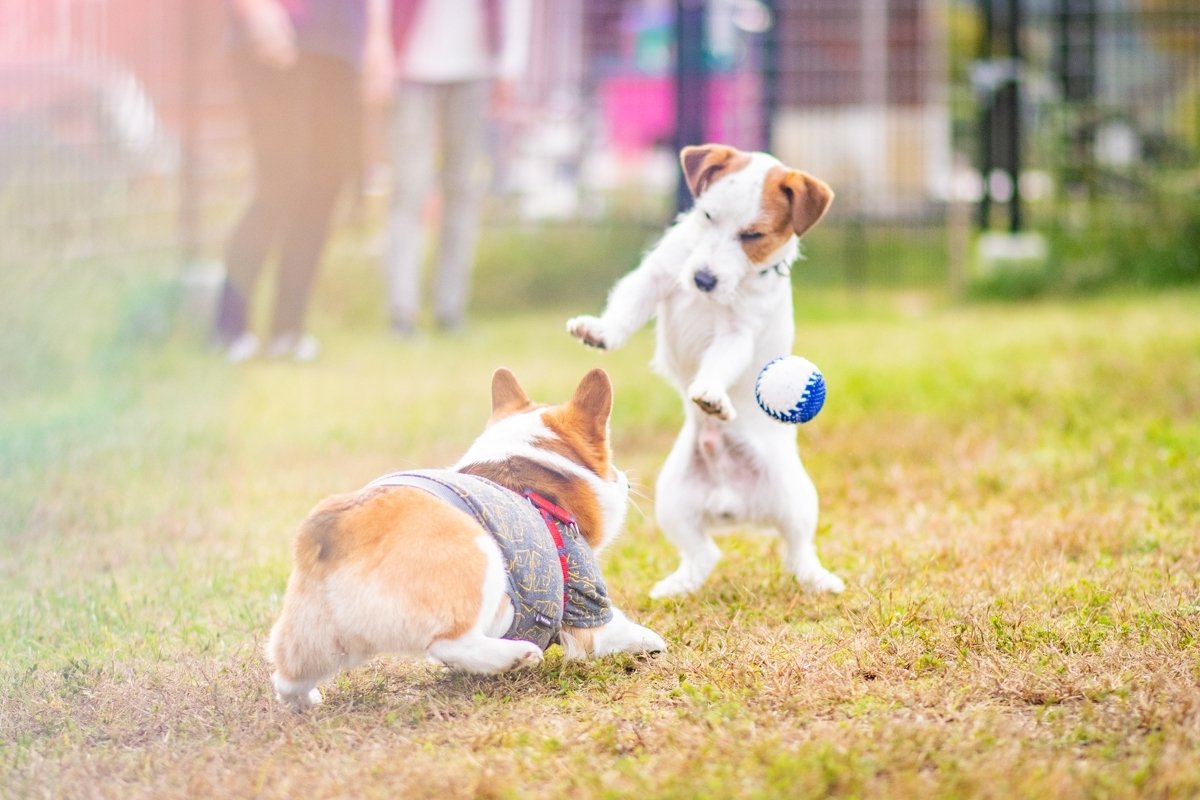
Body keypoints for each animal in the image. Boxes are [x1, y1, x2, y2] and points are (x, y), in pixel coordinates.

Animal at [264, 367, 672, 710]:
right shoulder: (587, 607)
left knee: (287, 677)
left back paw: (306, 702)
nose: (625, 481)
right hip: (481, 558)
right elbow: (624, 629)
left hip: (313, 638)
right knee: (448, 643)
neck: (533, 475)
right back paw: (514, 656)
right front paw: (653, 642)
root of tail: (335, 529)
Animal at [568, 143, 844, 597]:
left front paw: (712, 395)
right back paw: (677, 586)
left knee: (797, 548)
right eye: (707, 216)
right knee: (703, 553)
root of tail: (731, 504)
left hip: (797, 498)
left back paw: (819, 579)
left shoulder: (736, 333)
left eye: (752, 236)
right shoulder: (655, 277)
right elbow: (627, 307)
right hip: (672, 501)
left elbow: (718, 363)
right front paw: (601, 331)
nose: (702, 279)